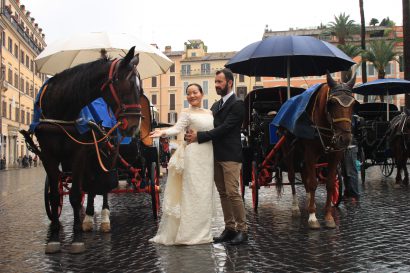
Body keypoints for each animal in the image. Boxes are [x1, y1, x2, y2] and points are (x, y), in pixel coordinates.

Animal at [23, 46, 144, 253]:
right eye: (128, 84)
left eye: (140, 87)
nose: (134, 126)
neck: (61, 111)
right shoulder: (48, 156)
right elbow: (56, 195)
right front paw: (54, 235)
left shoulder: (78, 153)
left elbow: (74, 194)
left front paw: (77, 236)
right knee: (91, 186)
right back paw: (87, 216)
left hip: (105, 152)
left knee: (104, 184)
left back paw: (103, 217)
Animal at [278, 71, 356, 227]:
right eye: (332, 103)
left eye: (353, 104)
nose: (345, 139)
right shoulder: (310, 153)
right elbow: (313, 183)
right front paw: (313, 217)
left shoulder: (335, 154)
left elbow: (330, 184)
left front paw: (328, 217)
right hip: (289, 151)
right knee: (292, 177)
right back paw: (296, 207)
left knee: (304, 175)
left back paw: (309, 201)